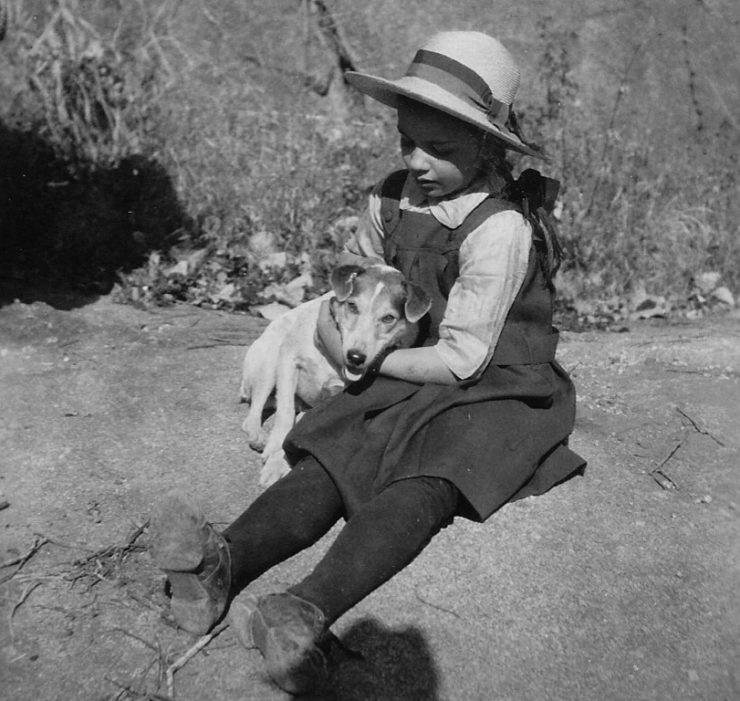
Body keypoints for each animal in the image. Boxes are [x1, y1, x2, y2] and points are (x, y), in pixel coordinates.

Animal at [240, 262, 430, 486]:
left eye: (388, 318)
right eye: (352, 306)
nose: (356, 357)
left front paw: (279, 463)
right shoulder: (288, 359)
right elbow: (285, 414)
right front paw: (274, 449)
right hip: (269, 362)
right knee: (255, 411)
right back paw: (258, 435)